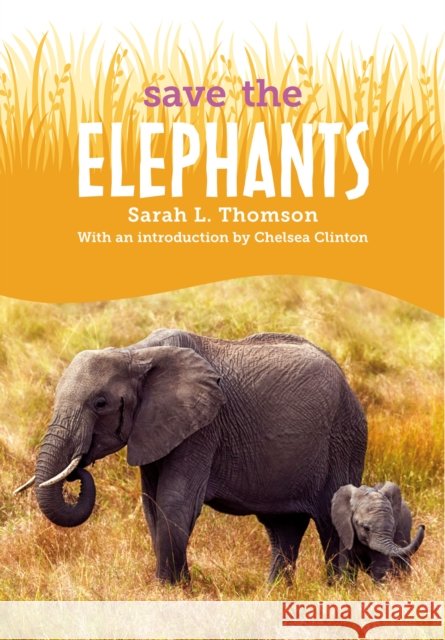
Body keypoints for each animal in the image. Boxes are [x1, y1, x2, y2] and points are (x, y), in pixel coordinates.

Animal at [16, 329, 367, 584]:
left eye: (100, 404)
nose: (78, 468)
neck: (136, 353)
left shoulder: (202, 429)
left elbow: (175, 501)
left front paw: (171, 588)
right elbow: (152, 505)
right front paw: (174, 587)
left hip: (344, 438)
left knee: (331, 521)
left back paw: (338, 590)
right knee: (283, 527)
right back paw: (275, 592)